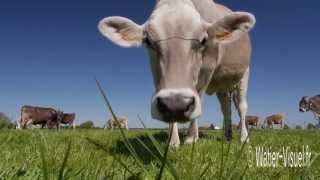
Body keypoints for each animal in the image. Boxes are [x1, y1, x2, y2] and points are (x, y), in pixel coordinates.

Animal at [97, 0, 255, 146]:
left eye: (204, 40)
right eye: (148, 41)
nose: (176, 104)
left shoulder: (207, 69)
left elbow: (199, 97)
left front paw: (191, 138)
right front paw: (173, 141)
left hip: (244, 74)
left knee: (241, 107)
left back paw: (243, 138)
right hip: (222, 87)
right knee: (226, 108)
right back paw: (227, 136)